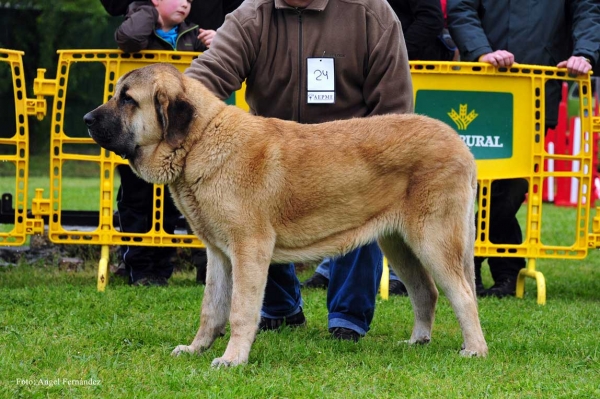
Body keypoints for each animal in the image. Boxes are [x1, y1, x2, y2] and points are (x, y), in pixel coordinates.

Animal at [84, 63, 488, 368]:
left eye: (128, 99)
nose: (87, 118)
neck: (199, 141)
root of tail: (461, 146)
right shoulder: (219, 255)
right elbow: (211, 309)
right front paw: (197, 348)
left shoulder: (249, 248)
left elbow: (240, 310)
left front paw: (232, 359)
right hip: (400, 244)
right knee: (426, 292)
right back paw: (418, 342)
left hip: (433, 240)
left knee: (463, 294)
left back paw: (474, 350)